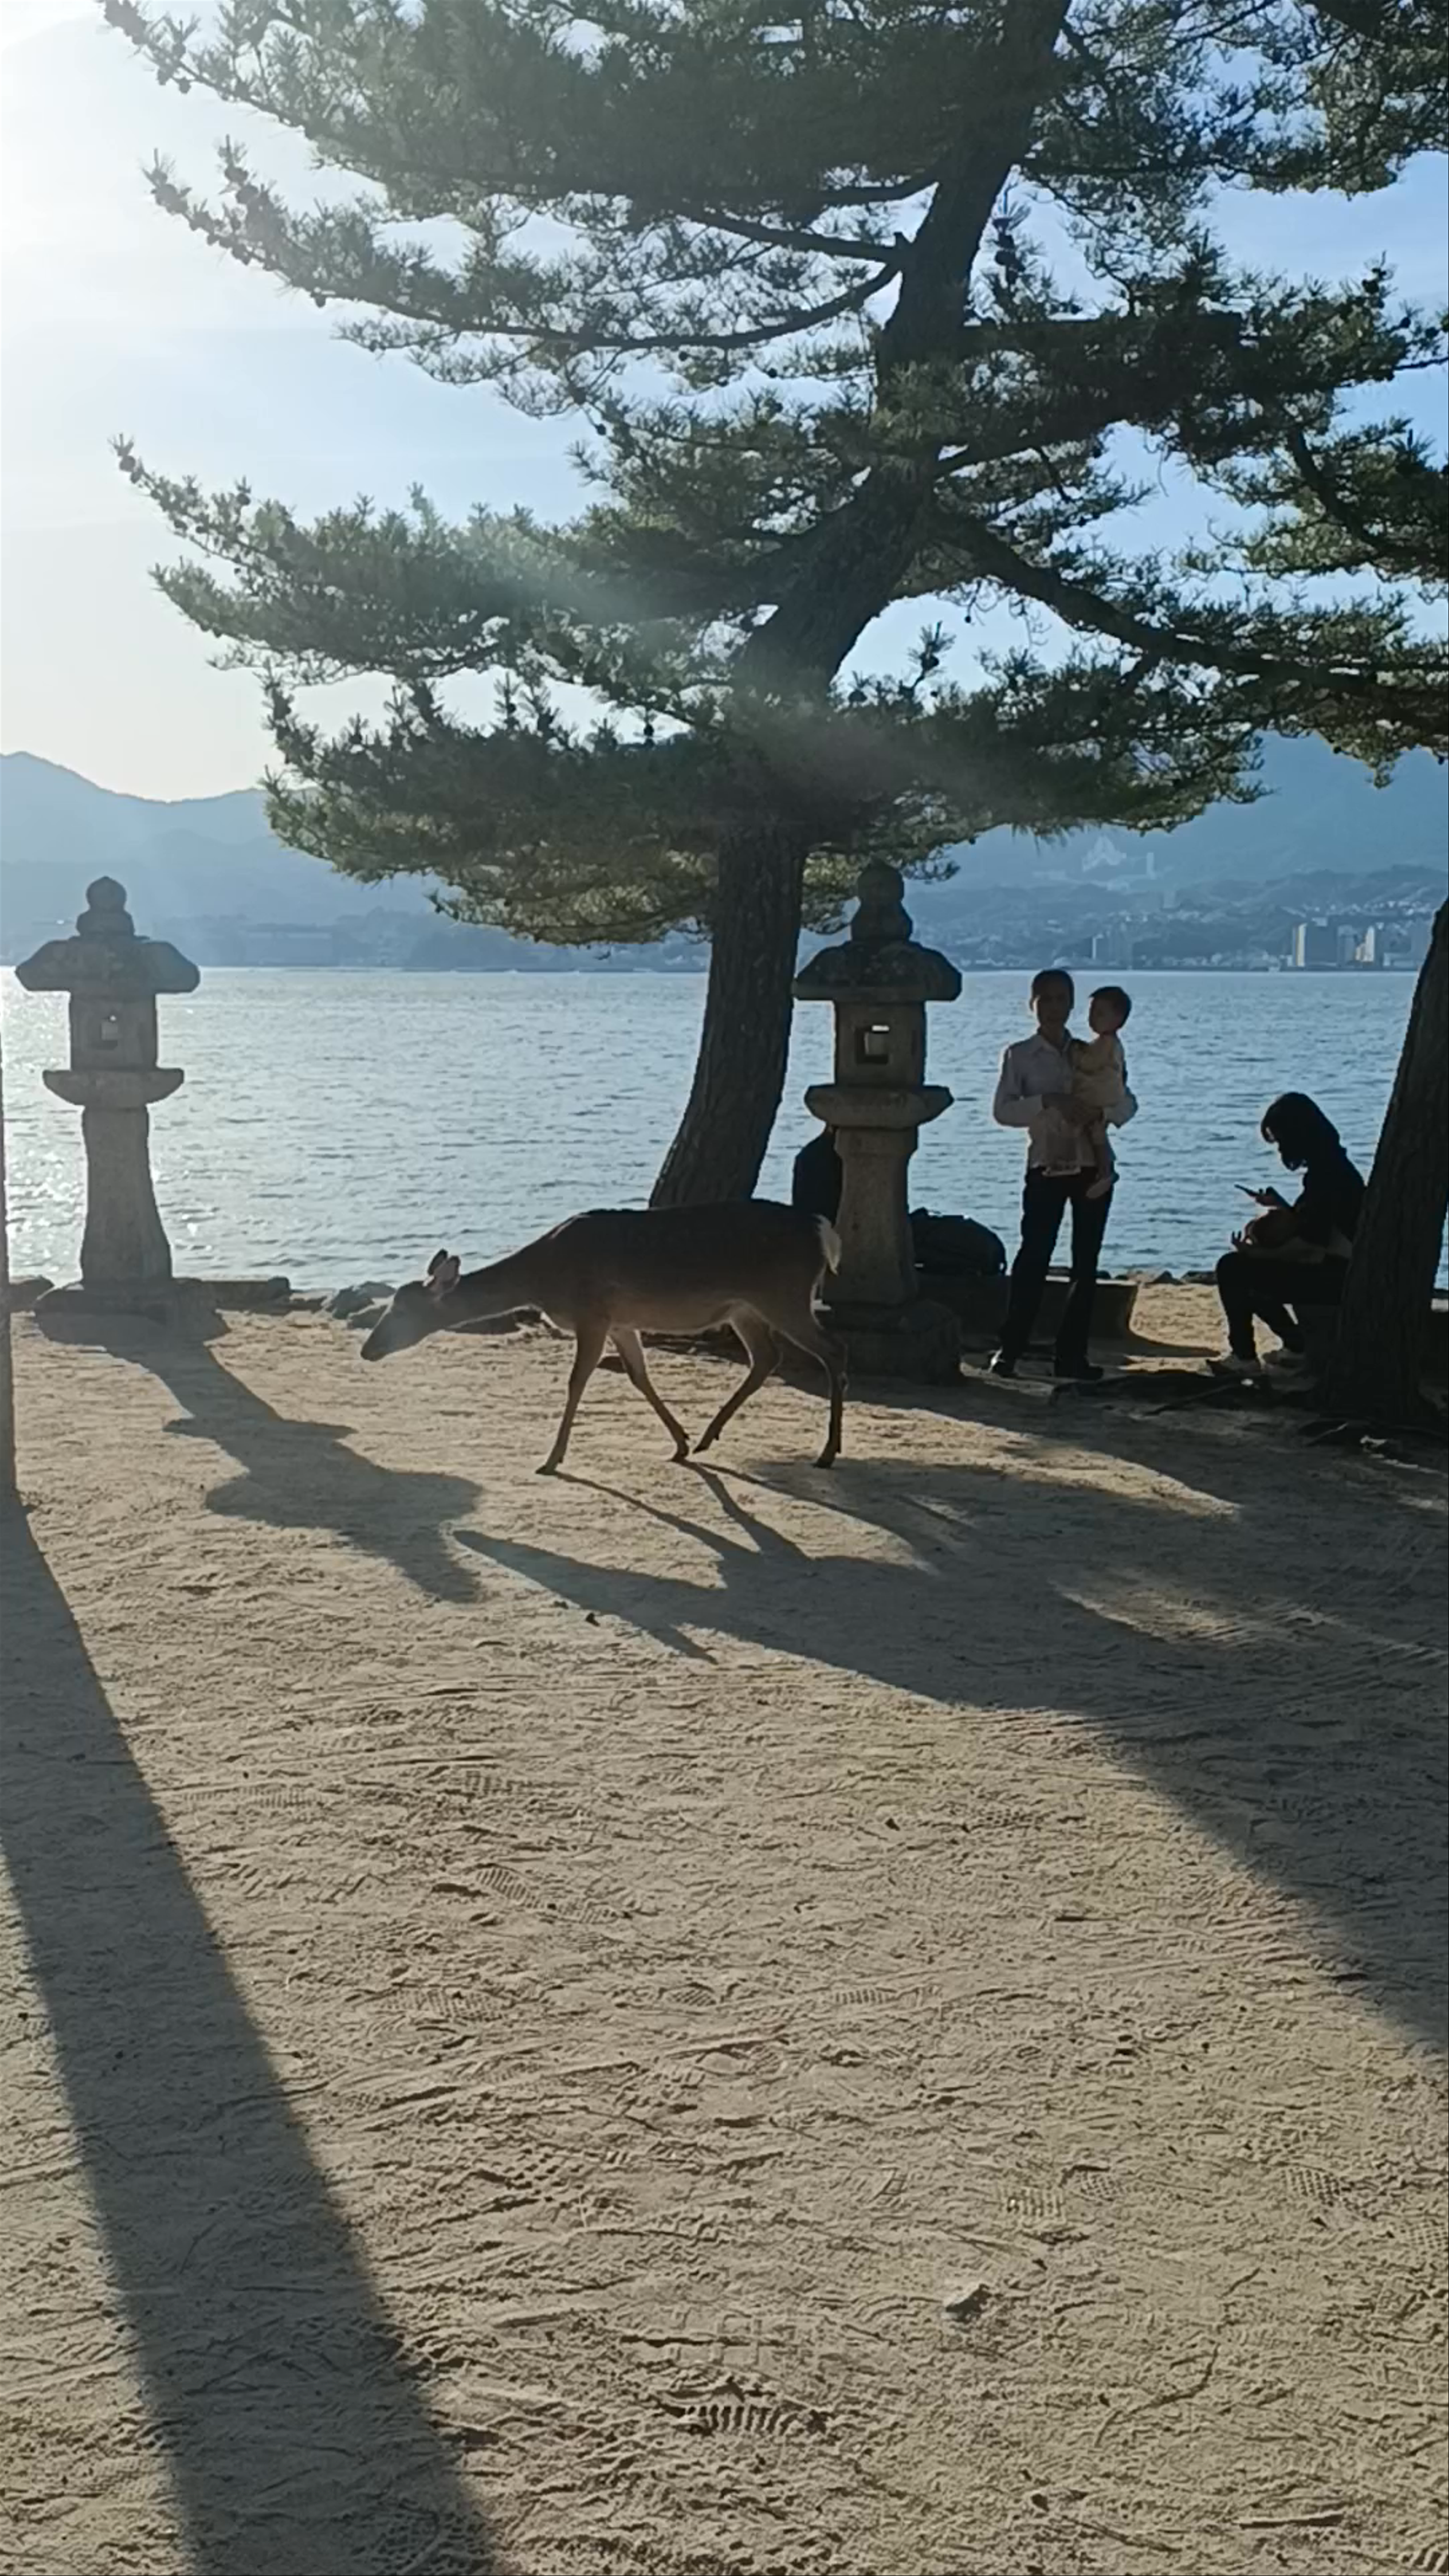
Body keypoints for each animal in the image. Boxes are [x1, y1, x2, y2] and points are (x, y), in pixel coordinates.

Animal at [360, 1203, 846, 1473]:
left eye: (401, 1309)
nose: (368, 1349)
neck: (543, 1278)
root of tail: (825, 1230)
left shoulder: (592, 1313)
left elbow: (577, 1380)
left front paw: (551, 1459)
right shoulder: (620, 1320)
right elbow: (638, 1375)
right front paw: (680, 1442)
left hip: (783, 1295)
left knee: (832, 1351)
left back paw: (827, 1452)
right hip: (745, 1307)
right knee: (767, 1357)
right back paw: (709, 1436)